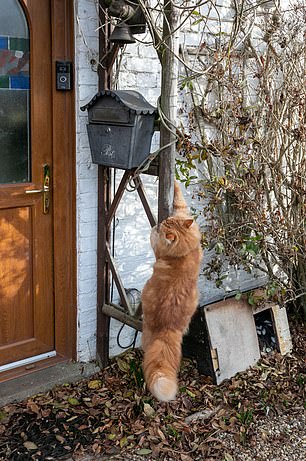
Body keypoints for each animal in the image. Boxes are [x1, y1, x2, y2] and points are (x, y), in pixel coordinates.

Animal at [142, 181, 203, 400]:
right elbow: (179, 197)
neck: (186, 249)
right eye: (168, 219)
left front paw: (153, 228)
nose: (161, 222)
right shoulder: (183, 211)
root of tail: (167, 328)